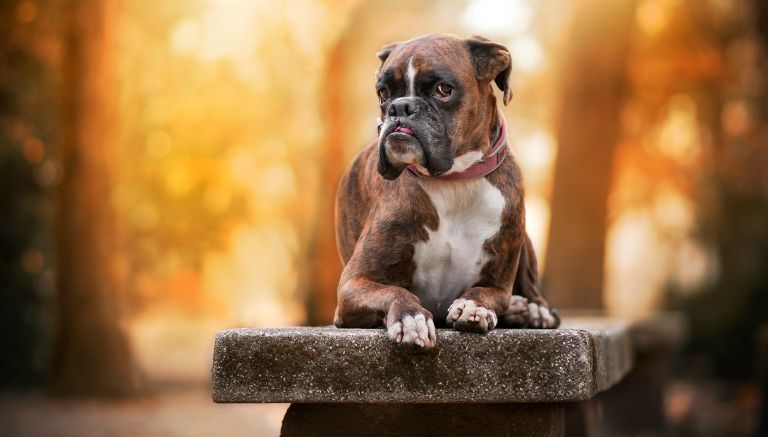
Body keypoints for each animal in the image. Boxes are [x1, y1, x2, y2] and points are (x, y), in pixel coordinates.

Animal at [332, 33, 556, 348]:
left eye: (443, 90)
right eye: (383, 93)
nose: (400, 107)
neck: (453, 180)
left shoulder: (498, 286)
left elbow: (484, 293)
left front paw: (474, 307)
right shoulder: (353, 284)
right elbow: (397, 291)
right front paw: (411, 318)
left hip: (524, 239)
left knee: (533, 292)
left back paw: (532, 310)